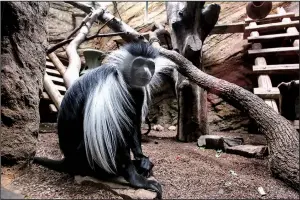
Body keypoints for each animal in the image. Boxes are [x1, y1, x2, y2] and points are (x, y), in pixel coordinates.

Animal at [33, 42, 178, 197]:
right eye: (139, 63)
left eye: (150, 65)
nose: (146, 72)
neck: (122, 78)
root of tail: (68, 160)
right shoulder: (111, 87)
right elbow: (113, 133)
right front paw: (137, 181)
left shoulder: (138, 91)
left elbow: (133, 125)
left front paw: (142, 158)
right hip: (85, 156)